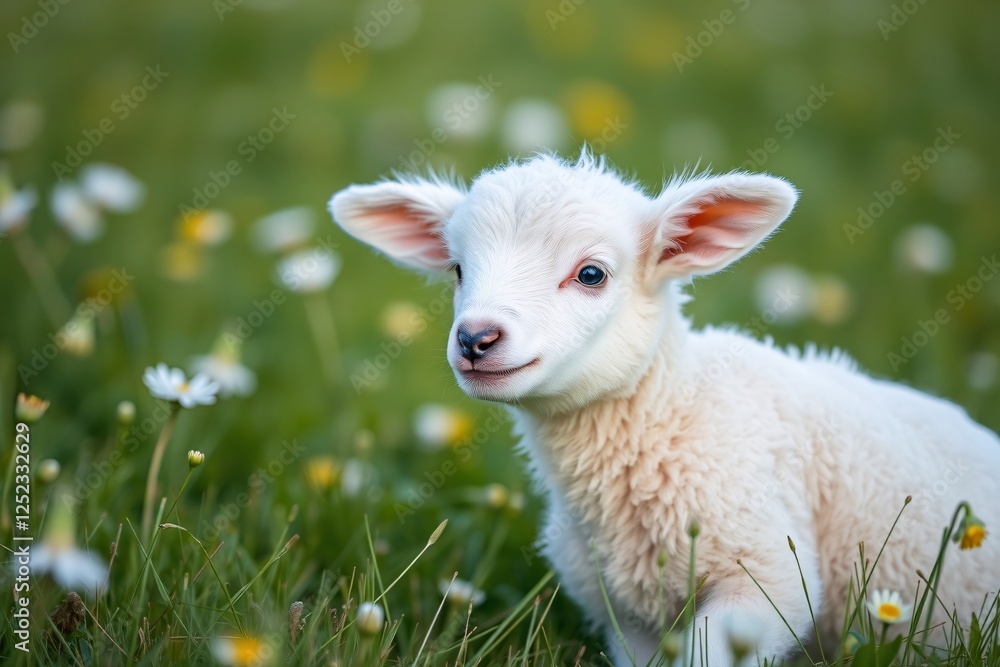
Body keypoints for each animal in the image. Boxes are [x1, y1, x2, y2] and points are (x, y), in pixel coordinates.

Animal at [329, 152, 1000, 666]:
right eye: (457, 269)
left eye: (591, 274)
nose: (476, 339)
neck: (674, 420)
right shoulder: (626, 611)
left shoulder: (766, 577)